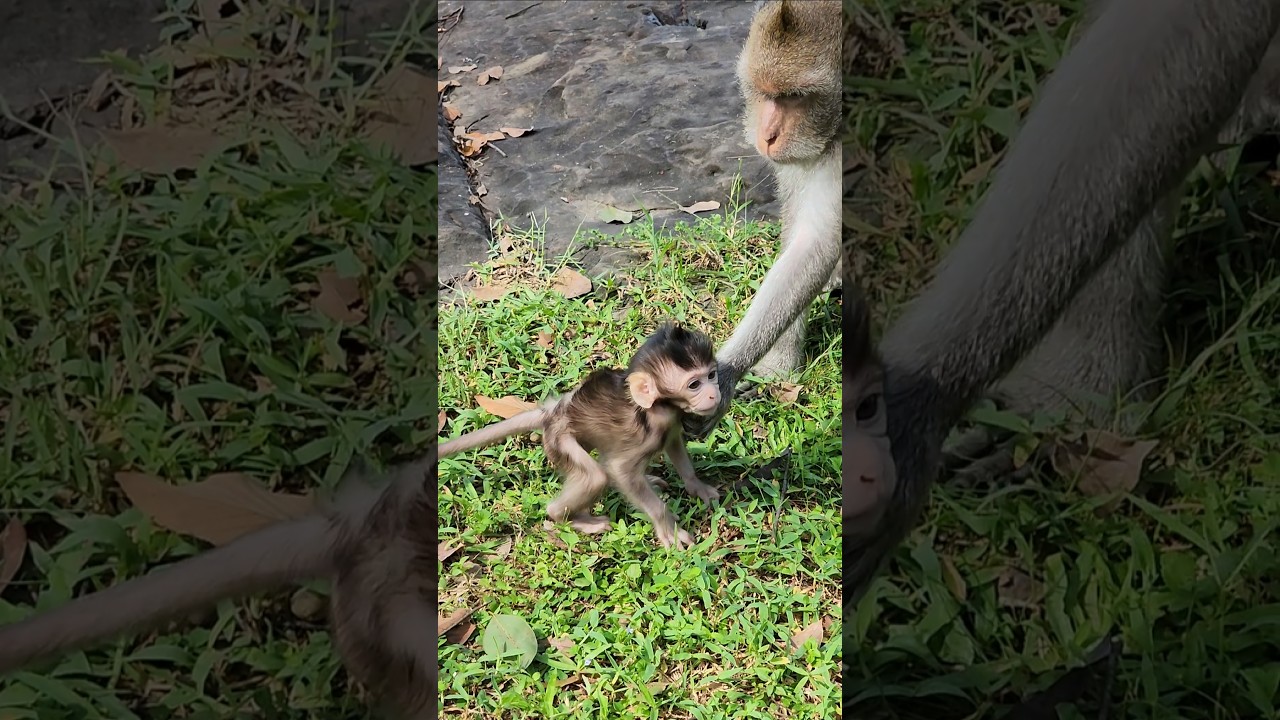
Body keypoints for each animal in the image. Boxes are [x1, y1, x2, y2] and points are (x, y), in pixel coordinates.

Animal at [440, 323, 721, 549]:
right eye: (694, 384)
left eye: (711, 375)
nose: (714, 393)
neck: (658, 406)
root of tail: (556, 409)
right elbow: (618, 470)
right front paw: (668, 528)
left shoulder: (671, 420)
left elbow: (674, 443)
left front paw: (696, 486)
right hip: (559, 440)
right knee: (597, 476)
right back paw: (569, 518)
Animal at [684, 0, 842, 439]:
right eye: (767, 93)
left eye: (794, 97)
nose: (767, 135)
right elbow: (804, 240)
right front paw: (776, 366)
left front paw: (724, 373)